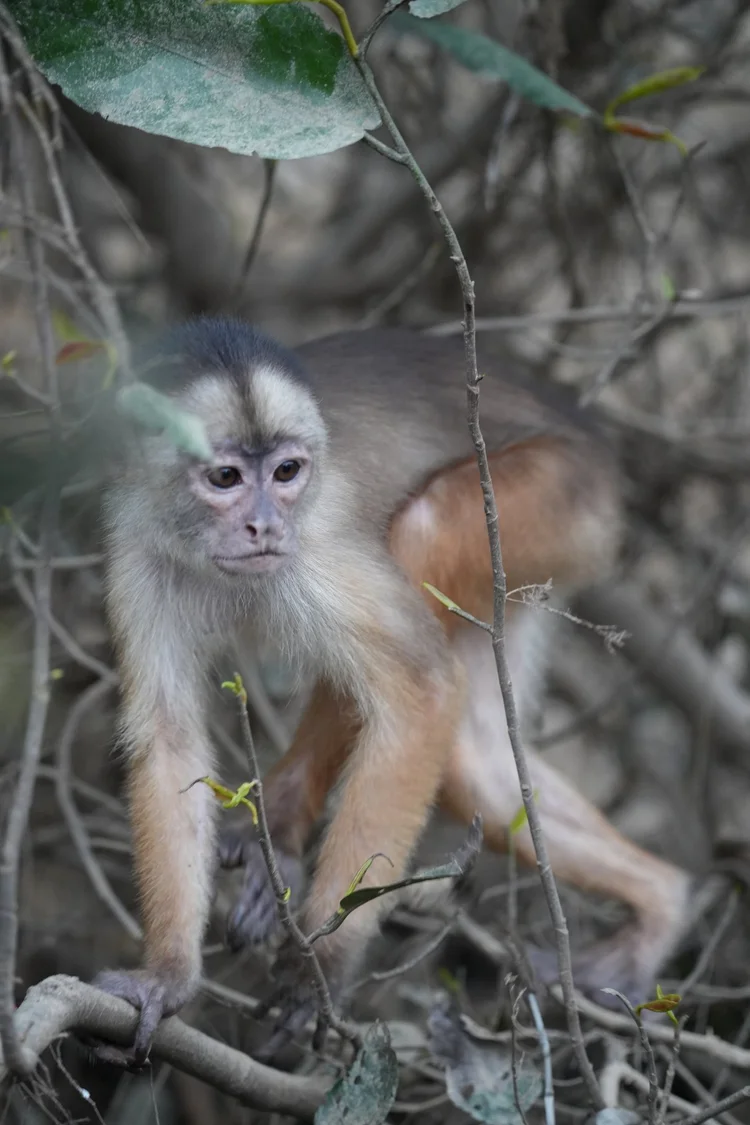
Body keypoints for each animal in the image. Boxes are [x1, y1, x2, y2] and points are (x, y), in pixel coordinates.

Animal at [93, 318, 695, 1062]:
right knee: (478, 767)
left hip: (561, 501)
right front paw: (170, 975)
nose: (265, 524)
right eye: (226, 477)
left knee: (424, 534)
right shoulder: (138, 548)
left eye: (286, 473)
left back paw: (282, 829)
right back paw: (662, 896)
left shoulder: (315, 544)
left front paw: (322, 968)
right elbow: (168, 737)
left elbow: (422, 691)